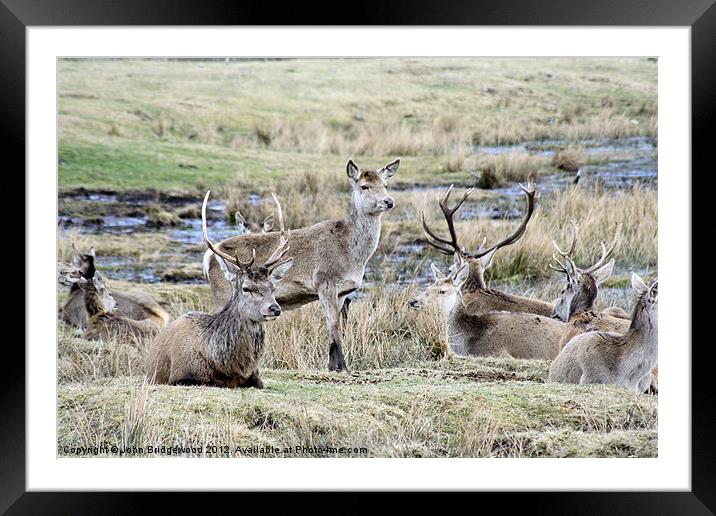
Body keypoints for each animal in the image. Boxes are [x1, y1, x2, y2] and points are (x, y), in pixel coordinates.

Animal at [145, 191, 294, 390]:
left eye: (273, 287)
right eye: (246, 288)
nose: (274, 308)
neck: (228, 365)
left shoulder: (256, 377)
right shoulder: (180, 375)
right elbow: (216, 382)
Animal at [204, 157, 400, 370]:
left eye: (386, 184)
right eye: (364, 186)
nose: (388, 201)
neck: (352, 255)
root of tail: (208, 256)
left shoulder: (343, 292)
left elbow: (333, 327)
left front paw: (332, 367)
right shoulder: (324, 281)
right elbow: (334, 325)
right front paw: (343, 366)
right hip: (223, 293)